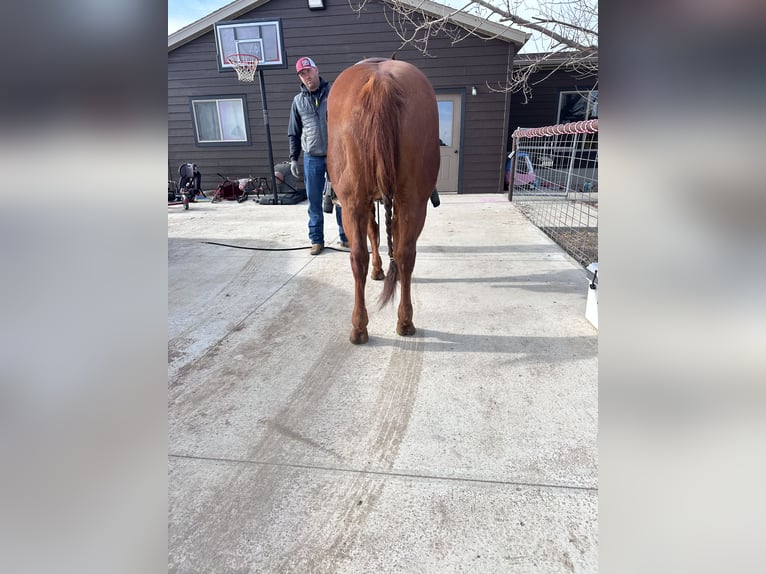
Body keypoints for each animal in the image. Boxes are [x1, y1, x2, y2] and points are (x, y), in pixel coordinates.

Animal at [328, 59, 440, 346]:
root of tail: (381, 82)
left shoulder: (367, 203)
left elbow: (374, 233)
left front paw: (379, 270)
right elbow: (392, 239)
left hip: (353, 202)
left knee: (360, 255)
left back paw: (361, 326)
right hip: (413, 201)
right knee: (405, 253)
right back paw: (404, 320)